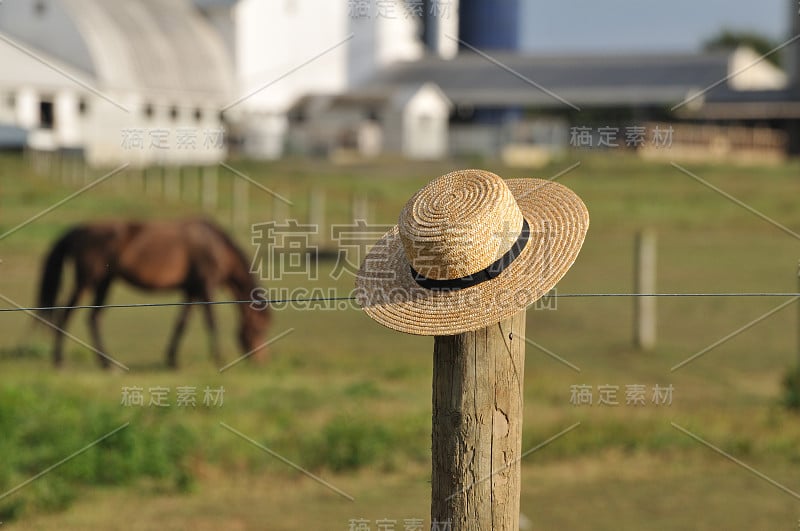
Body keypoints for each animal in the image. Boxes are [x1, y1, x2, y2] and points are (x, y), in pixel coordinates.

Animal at [37, 218, 270, 368]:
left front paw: (172, 359)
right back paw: (60, 360)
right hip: (88, 282)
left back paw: (107, 362)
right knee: (67, 313)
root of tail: (78, 231)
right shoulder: (206, 286)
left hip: (105, 282)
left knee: (94, 318)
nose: (259, 360)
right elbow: (211, 321)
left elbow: (182, 323)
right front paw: (218, 358)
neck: (215, 245)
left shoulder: (191, 290)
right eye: (258, 329)